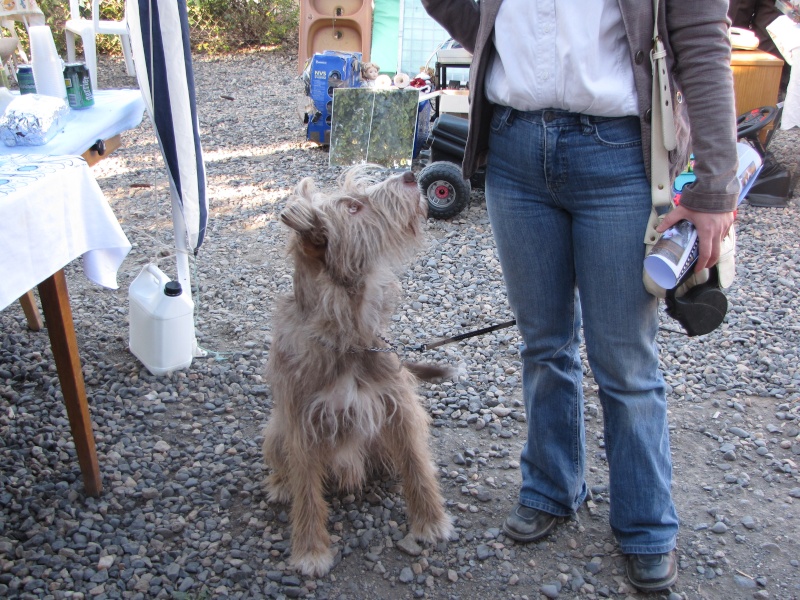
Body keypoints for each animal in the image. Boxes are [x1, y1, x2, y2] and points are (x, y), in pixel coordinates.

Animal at [264, 164, 456, 576]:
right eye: (353, 208)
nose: (411, 174)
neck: (346, 339)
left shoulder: (398, 406)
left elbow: (417, 464)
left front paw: (431, 520)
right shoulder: (302, 423)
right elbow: (307, 488)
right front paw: (310, 549)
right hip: (274, 430)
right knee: (285, 466)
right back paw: (280, 483)